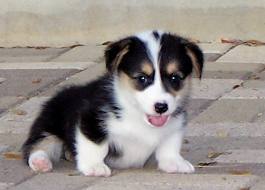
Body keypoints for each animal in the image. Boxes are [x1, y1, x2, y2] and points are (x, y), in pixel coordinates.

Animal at [23, 30, 204, 177]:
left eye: (175, 78)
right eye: (142, 78)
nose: (161, 107)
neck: (137, 114)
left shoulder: (175, 124)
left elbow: (169, 144)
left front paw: (175, 163)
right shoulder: (91, 118)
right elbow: (96, 145)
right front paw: (94, 167)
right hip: (49, 123)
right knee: (39, 144)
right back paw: (41, 162)